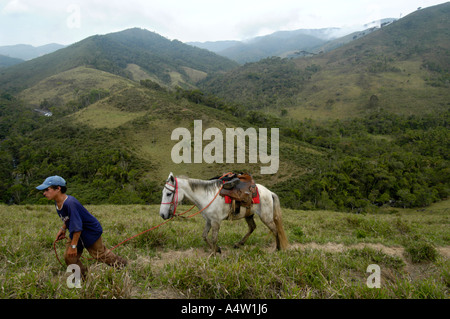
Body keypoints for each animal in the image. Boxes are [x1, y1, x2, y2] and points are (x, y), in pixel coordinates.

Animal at [160, 172, 290, 255]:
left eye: (168, 193)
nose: (162, 215)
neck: (207, 196)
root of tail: (269, 192)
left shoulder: (215, 221)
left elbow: (214, 238)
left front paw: (213, 254)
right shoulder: (209, 220)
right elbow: (204, 236)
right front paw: (217, 250)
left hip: (265, 217)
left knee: (275, 230)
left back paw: (278, 249)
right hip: (249, 215)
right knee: (252, 227)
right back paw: (239, 244)